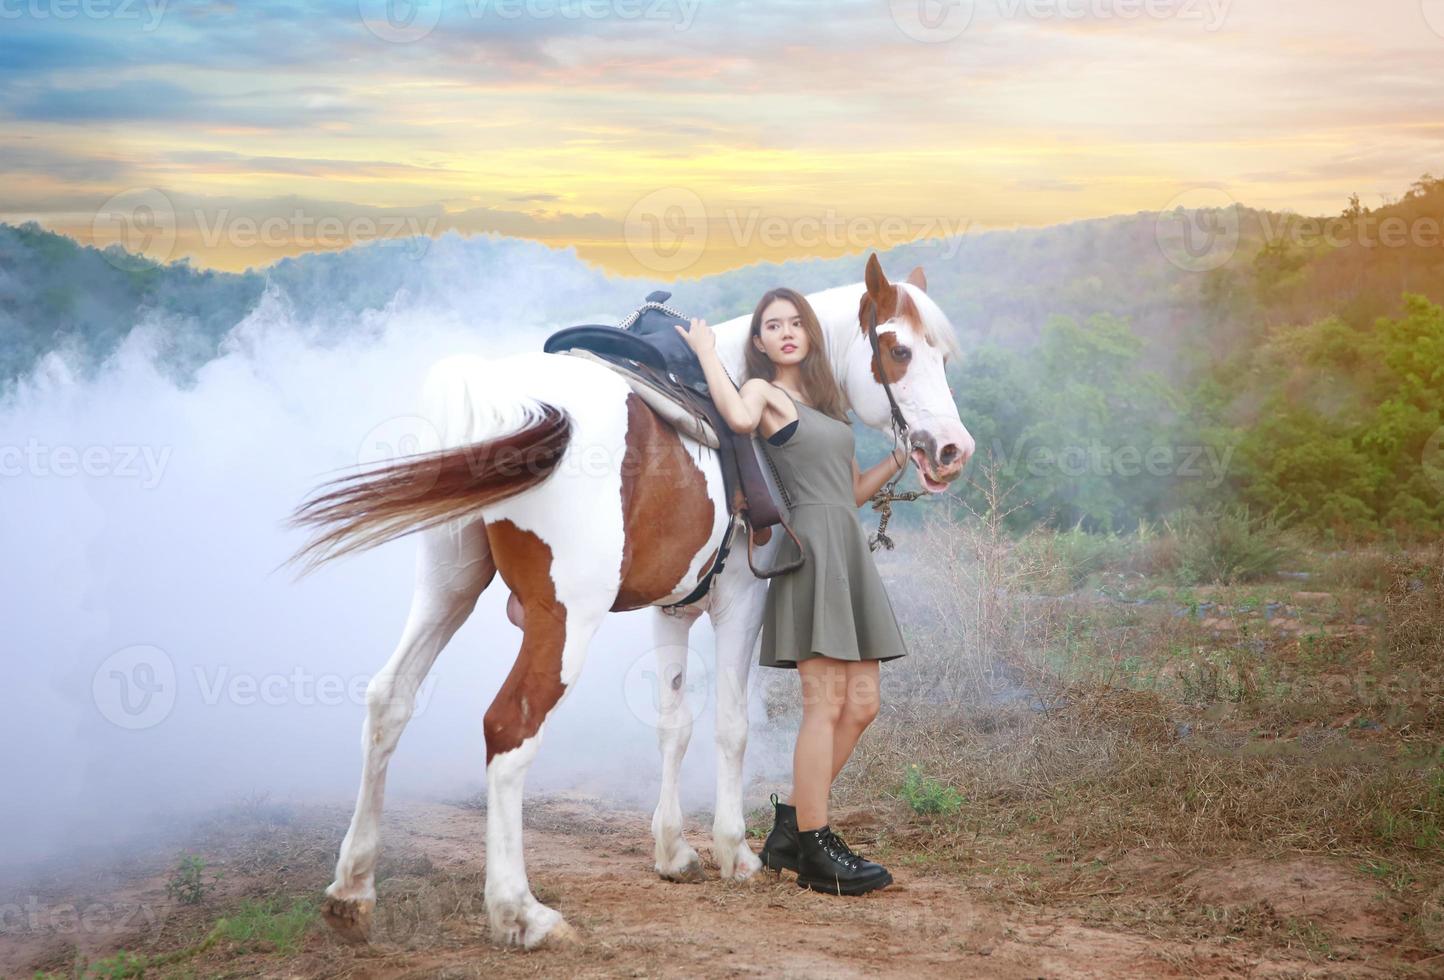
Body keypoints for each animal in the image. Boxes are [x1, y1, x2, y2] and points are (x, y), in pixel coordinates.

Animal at [284, 252, 970, 952]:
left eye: (943, 356)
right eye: (898, 349)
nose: (951, 449)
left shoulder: (672, 610)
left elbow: (673, 723)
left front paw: (673, 852)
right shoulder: (741, 603)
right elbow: (730, 727)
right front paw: (735, 852)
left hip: (446, 587)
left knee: (389, 701)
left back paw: (352, 890)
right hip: (564, 621)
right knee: (509, 729)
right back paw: (520, 911)